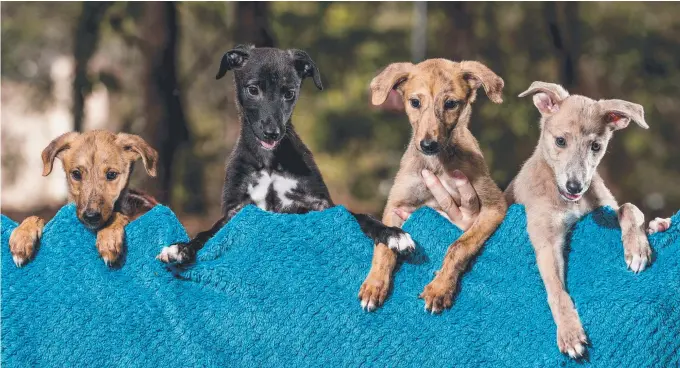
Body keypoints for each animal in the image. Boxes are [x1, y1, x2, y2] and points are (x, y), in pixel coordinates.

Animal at [8, 132, 158, 268]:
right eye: (76, 174)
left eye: (111, 174)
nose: (91, 216)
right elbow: (36, 217)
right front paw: (22, 236)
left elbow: (117, 215)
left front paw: (109, 237)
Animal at [158, 45, 414, 264]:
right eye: (253, 90)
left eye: (289, 93)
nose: (273, 133)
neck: (269, 163)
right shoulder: (236, 210)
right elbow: (207, 233)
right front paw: (181, 247)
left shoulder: (318, 204)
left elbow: (357, 215)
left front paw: (391, 233)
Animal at [358, 60, 508, 314]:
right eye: (415, 102)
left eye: (450, 104)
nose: (428, 145)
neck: (437, 163)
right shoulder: (396, 205)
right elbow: (384, 245)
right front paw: (375, 284)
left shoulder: (495, 205)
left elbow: (459, 246)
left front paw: (440, 288)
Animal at [508, 81, 668, 360]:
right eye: (560, 141)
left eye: (596, 146)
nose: (576, 186)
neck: (569, 201)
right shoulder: (546, 241)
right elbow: (557, 291)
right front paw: (570, 334)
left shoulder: (603, 208)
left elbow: (630, 208)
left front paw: (637, 248)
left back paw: (659, 224)